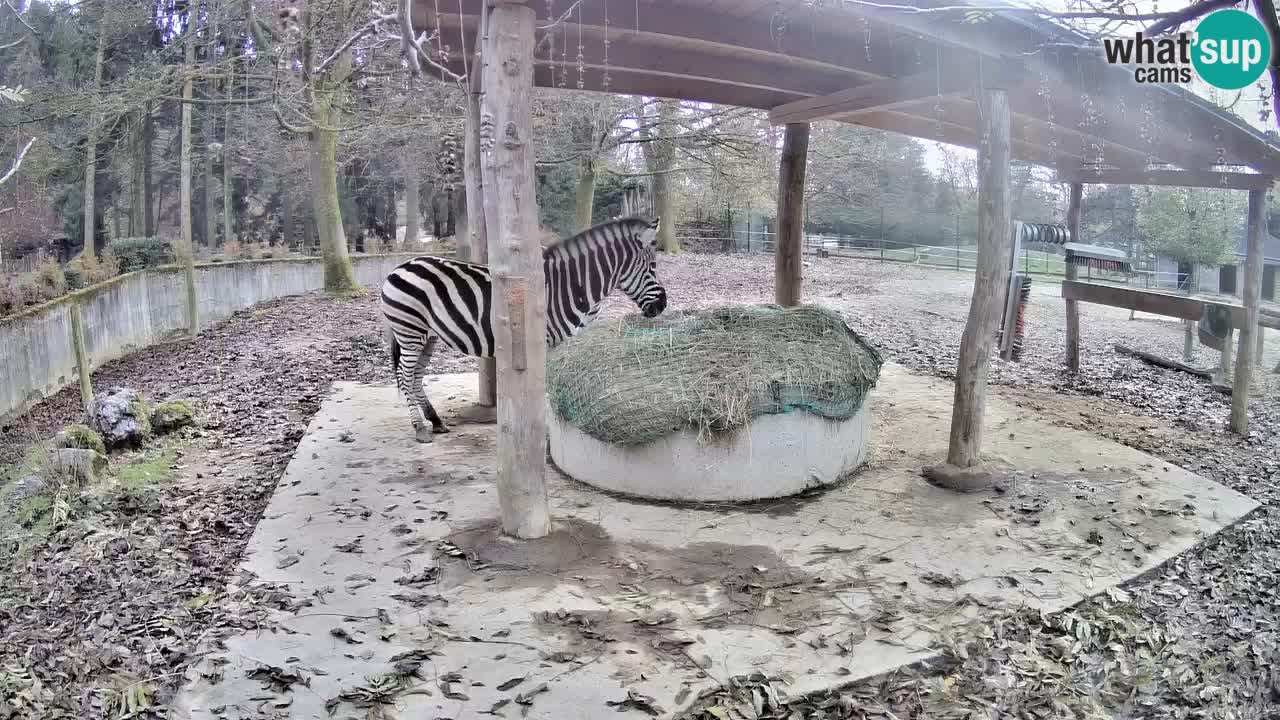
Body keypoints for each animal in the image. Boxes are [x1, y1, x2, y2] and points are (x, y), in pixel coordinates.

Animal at [376, 212, 670, 440]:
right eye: (653, 266)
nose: (663, 305)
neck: (570, 286)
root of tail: (398, 267)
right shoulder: (547, 340)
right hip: (410, 330)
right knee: (405, 375)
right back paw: (419, 428)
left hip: (428, 335)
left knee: (415, 376)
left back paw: (435, 422)